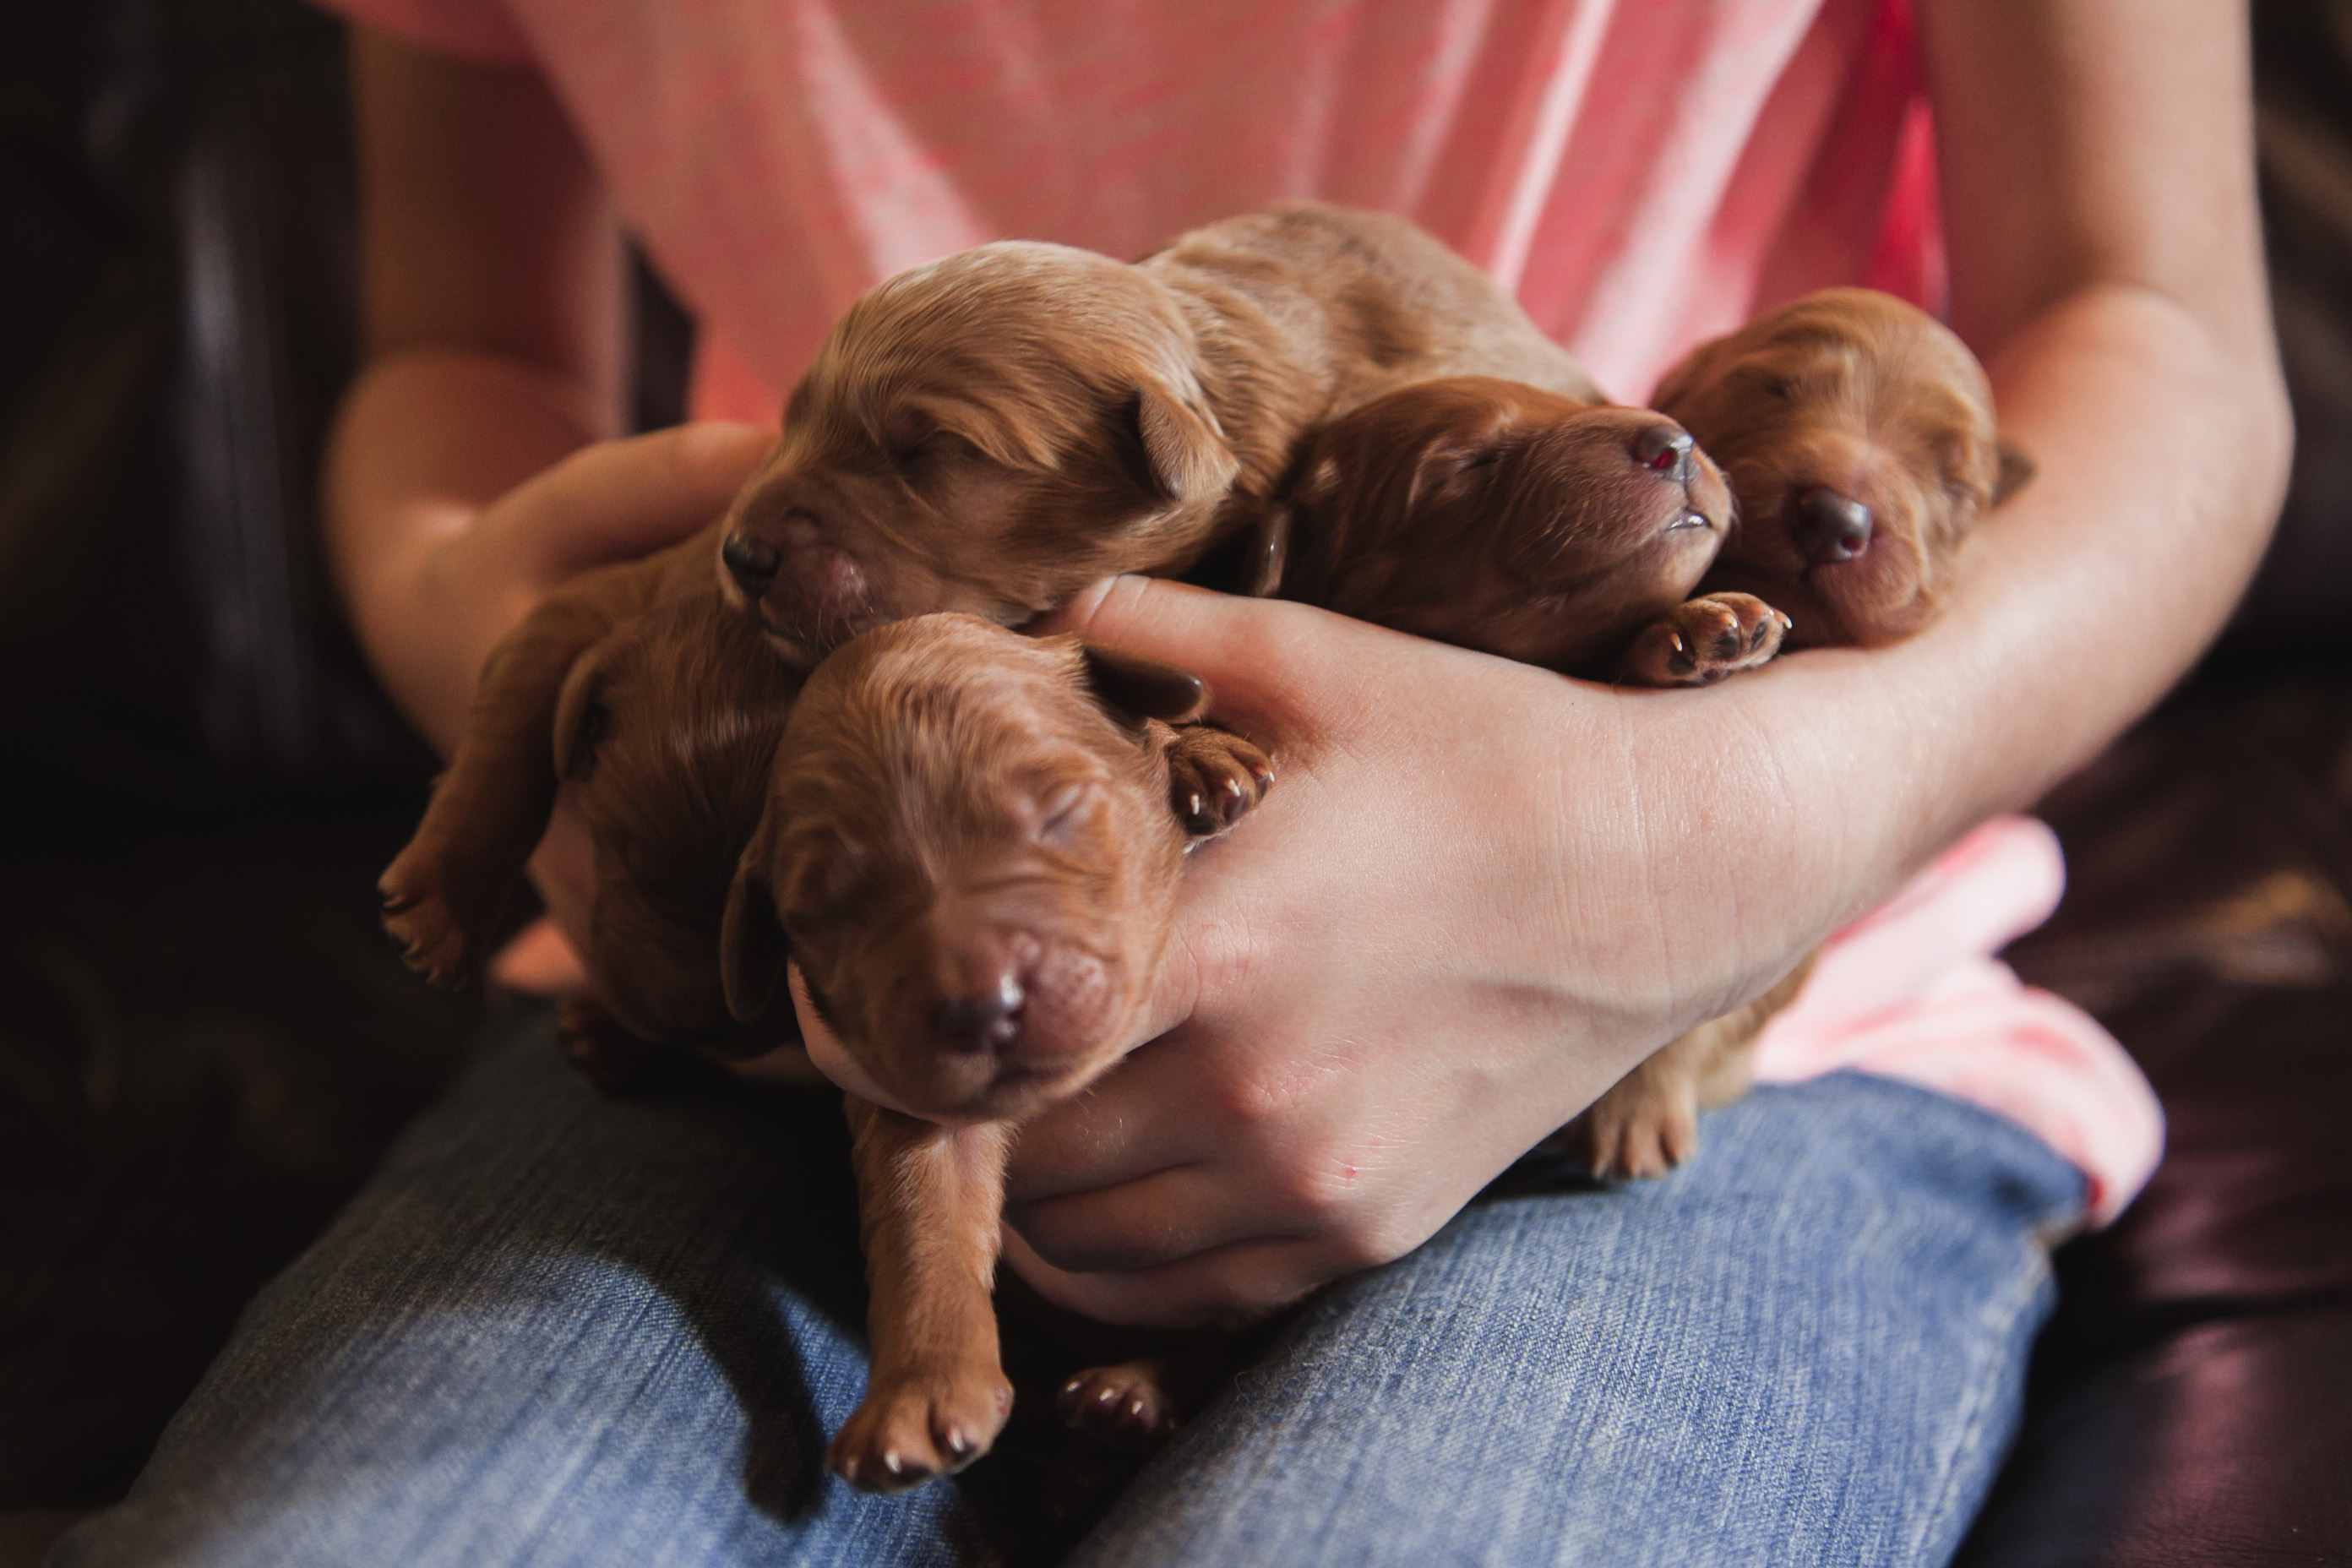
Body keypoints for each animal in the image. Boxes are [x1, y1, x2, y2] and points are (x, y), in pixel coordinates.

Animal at [719, 611, 1279, 1485]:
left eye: (1059, 810)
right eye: (822, 911)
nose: (981, 1009)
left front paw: (1203, 753)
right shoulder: (909, 1106)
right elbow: (923, 1234)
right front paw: (918, 1397)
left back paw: (1131, 1391)